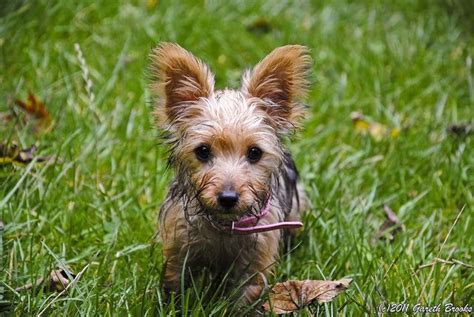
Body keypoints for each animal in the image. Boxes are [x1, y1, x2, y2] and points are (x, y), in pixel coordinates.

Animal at [149, 42, 312, 304]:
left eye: (254, 152)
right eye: (203, 151)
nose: (227, 198)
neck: (225, 225)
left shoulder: (255, 262)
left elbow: (243, 298)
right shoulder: (178, 249)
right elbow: (176, 290)